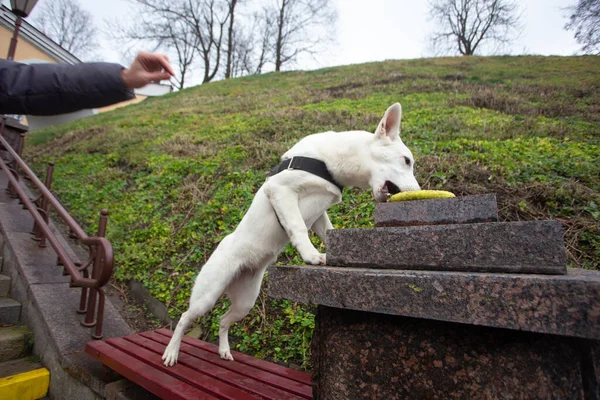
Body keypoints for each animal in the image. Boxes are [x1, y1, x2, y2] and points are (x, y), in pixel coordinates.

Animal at [162, 102, 420, 366]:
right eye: (407, 160)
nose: (418, 193)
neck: (330, 161)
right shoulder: (281, 191)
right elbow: (297, 227)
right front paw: (311, 257)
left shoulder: (319, 215)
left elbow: (329, 232)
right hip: (206, 297)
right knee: (184, 318)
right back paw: (171, 352)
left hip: (245, 302)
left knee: (223, 321)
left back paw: (224, 350)